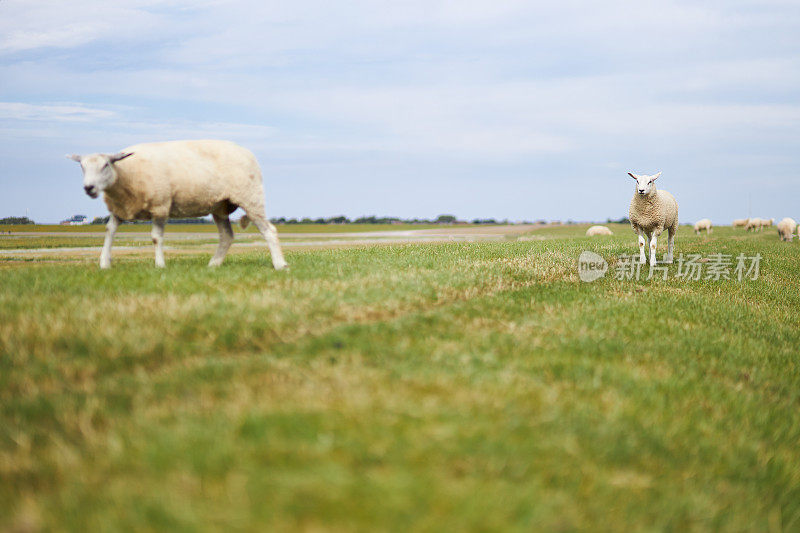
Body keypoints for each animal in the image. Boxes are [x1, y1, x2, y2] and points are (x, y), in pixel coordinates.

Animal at [68, 139, 288, 268]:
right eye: (82, 167)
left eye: (106, 165)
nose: (88, 188)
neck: (124, 173)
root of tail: (248, 153)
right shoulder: (119, 210)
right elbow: (109, 231)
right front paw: (104, 263)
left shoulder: (160, 206)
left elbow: (156, 238)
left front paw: (160, 265)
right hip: (219, 206)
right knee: (226, 236)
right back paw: (213, 264)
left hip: (251, 198)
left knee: (269, 231)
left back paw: (280, 264)